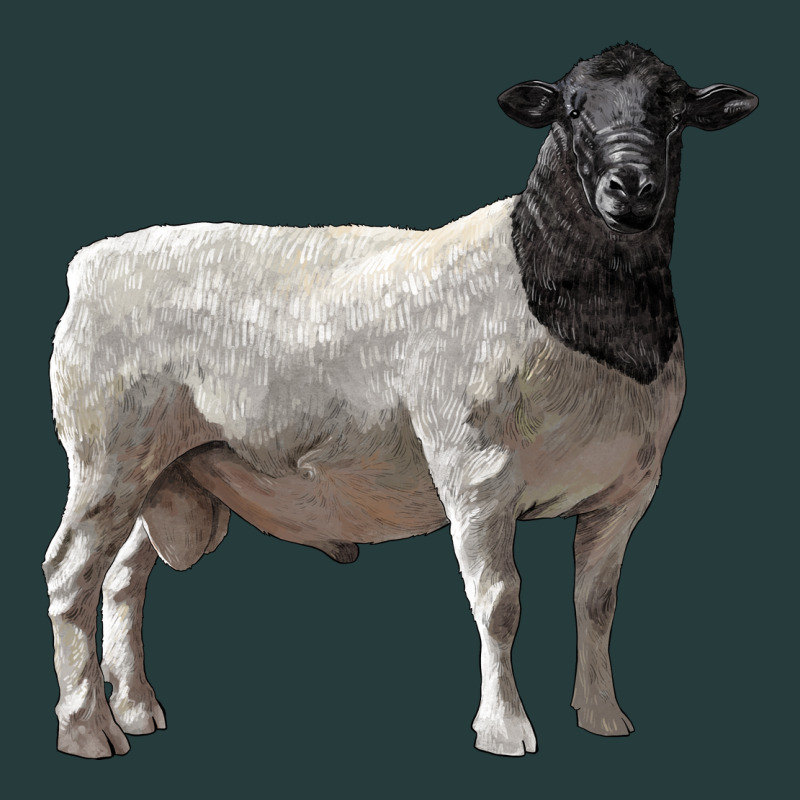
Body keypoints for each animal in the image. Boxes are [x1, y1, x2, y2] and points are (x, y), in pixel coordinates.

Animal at [44, 43, 758, 759]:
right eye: (573, 110)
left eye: (673, 113)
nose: (631, 186)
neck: (593, 323)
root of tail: (92, 262)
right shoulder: (476, 472)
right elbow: (499, 603)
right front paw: (505, 728)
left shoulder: (628, 490)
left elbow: (596, 602)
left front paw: (604, 715)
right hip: (106, 458)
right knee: (69, 577)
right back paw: (88, 729)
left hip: (165, 470)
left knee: (122, 580)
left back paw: (136, 707)